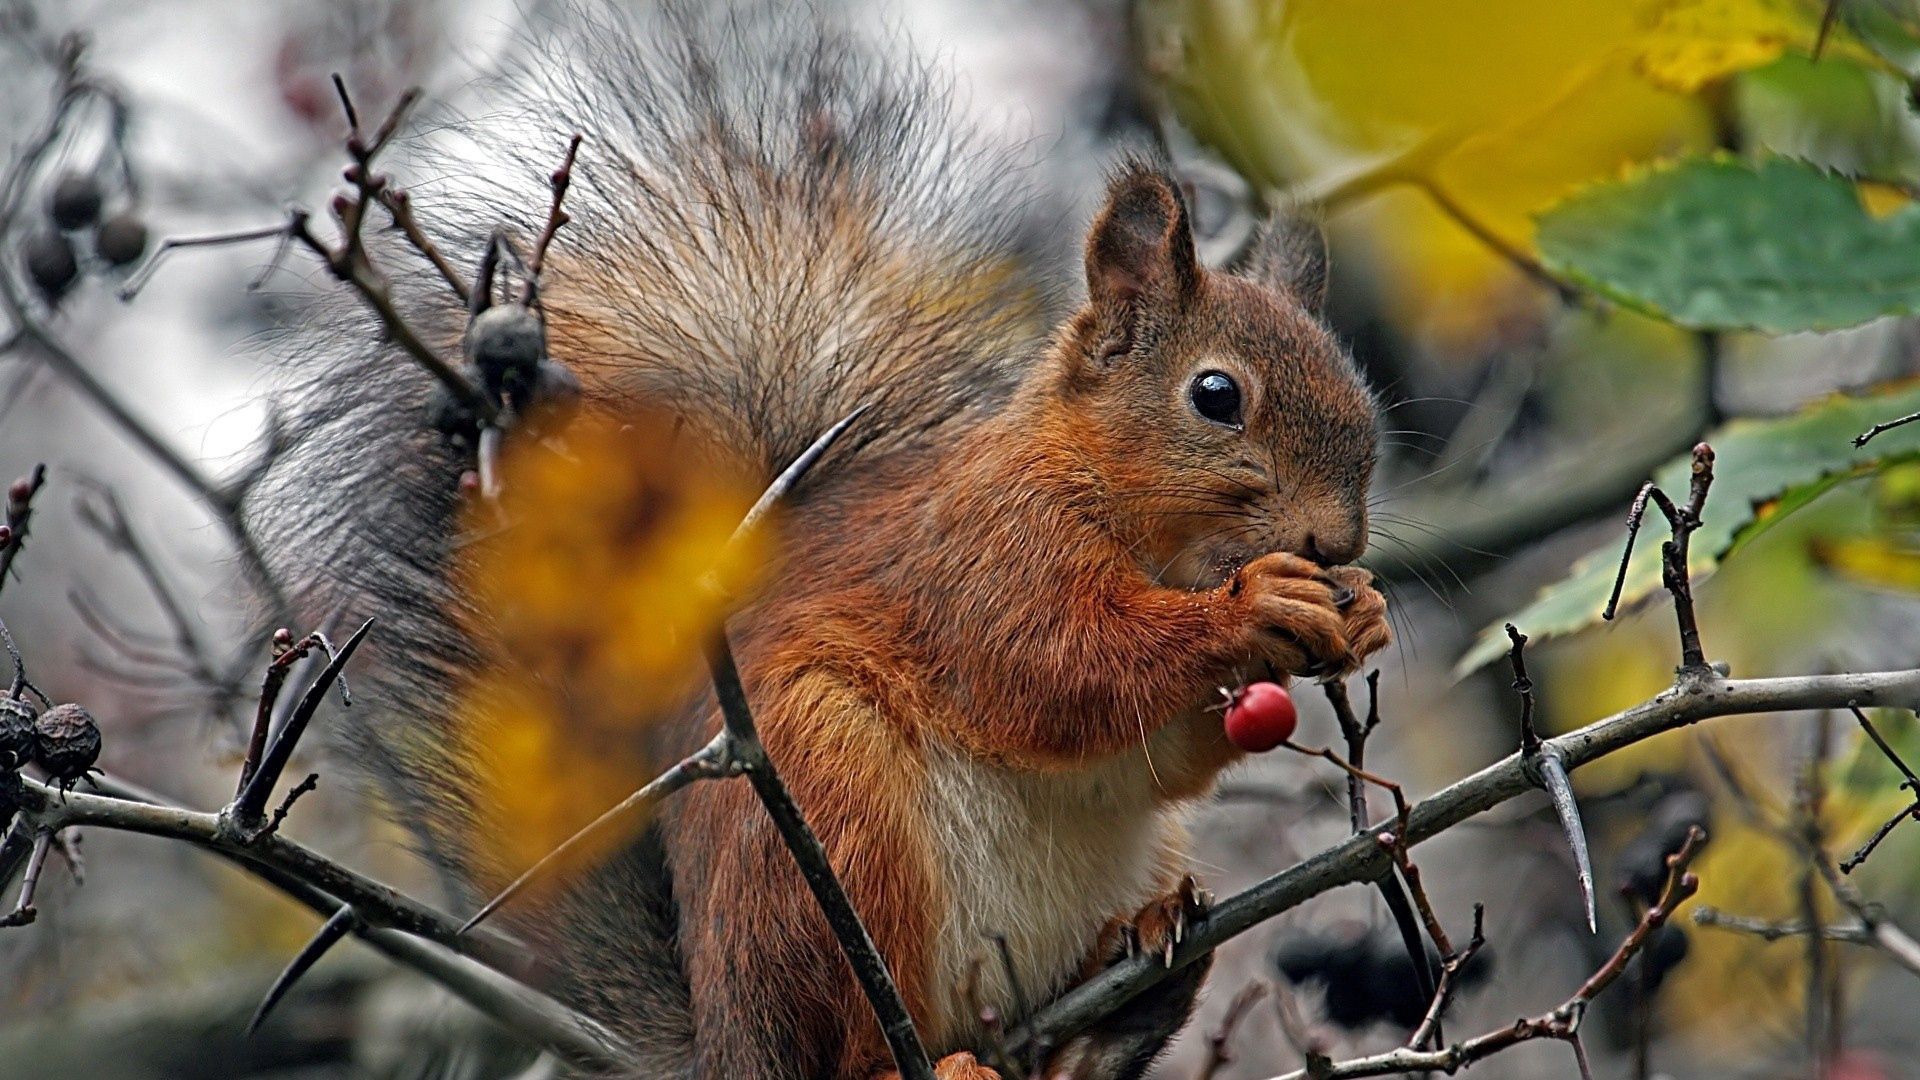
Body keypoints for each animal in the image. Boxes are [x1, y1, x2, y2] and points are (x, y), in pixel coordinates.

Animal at [259, 4, 1397, 1068]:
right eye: (1216, 396)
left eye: (1362, 399)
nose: (1335, 543)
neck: (1139, 527)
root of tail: (722, 1038)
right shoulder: (986, 554)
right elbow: (1057, 669)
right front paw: (1258, 606)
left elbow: (1161, 759)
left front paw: (1364, 614)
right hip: (825, 816)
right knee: (852, 1039)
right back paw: (940, 1062)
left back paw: (1130, 983)